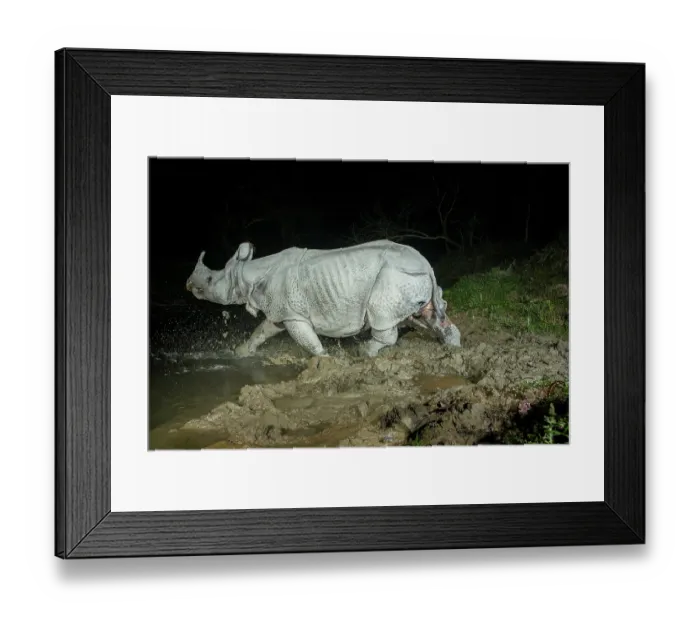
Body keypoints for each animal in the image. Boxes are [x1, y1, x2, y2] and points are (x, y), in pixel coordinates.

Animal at [185, 239, 461, 358]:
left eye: (208, 280)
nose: (189, 286)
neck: (248, 274)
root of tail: (426, 264)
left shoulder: (293, 314)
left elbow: (309, 342)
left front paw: (325, 361)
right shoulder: (282, 311)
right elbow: (262, 331)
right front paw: (240, 352)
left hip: (392, 277)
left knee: (382, 317)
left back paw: (364, 352)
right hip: (411, 279)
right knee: (425, 314)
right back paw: (453, 346)